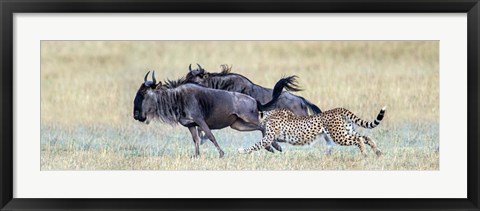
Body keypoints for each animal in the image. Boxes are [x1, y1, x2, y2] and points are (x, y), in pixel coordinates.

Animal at [239, 107, 386, 157]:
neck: (268, 115)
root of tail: (339, 109)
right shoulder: (272, 137)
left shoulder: (269, 137)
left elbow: (256, 145)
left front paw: (242, 151)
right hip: (345, 131)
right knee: (365, 137)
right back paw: (377, 152)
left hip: (339, 135)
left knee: (359, 139)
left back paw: (365, 154)